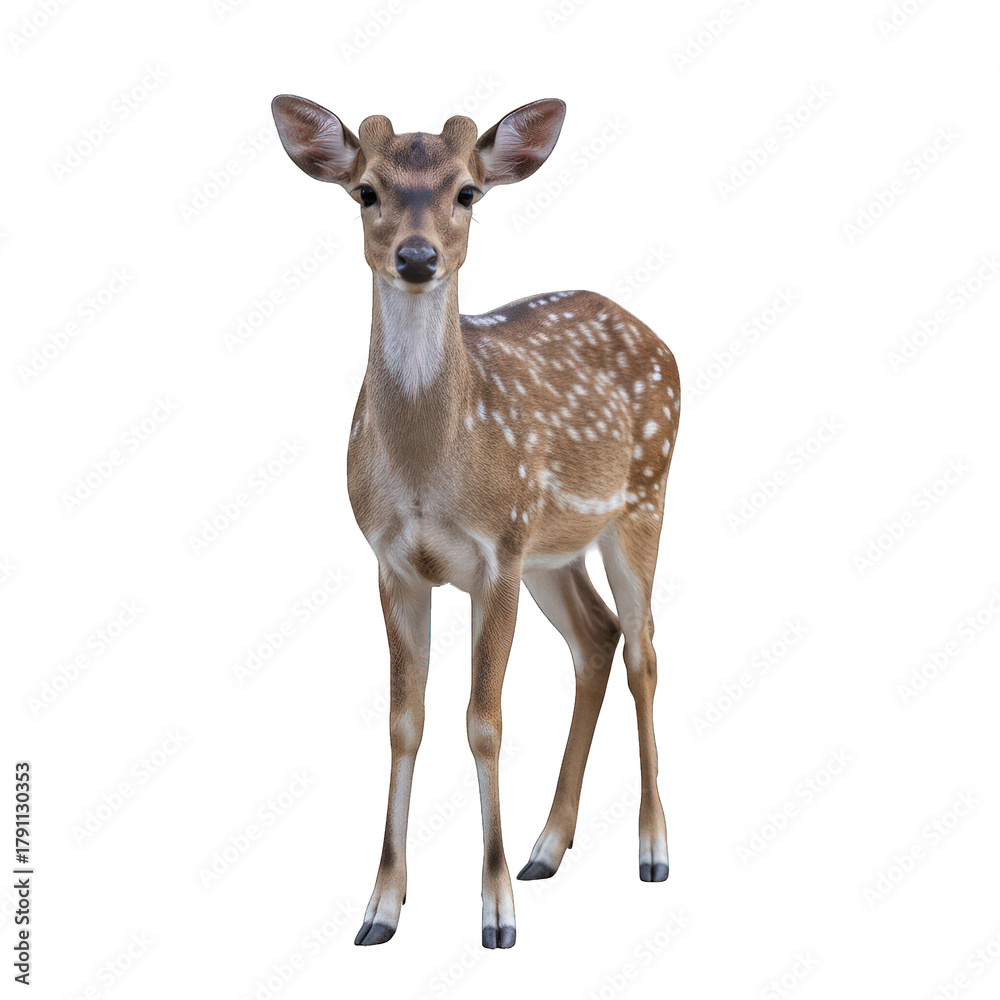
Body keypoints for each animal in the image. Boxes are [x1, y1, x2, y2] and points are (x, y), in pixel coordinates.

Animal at [271, 94, 680, 950]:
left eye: (467, 191)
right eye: (366, 191)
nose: (418, 256)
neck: (430, 468)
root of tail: (659, 339)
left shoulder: (497, 553)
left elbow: (483, 720)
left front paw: (496, 914)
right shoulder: (395, 561)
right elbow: (406, 720)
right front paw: (380, 909)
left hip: (643, 497)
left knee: (645, 649)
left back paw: (653, 849)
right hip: (554, 551)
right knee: (597, 638)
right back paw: (546, 848)